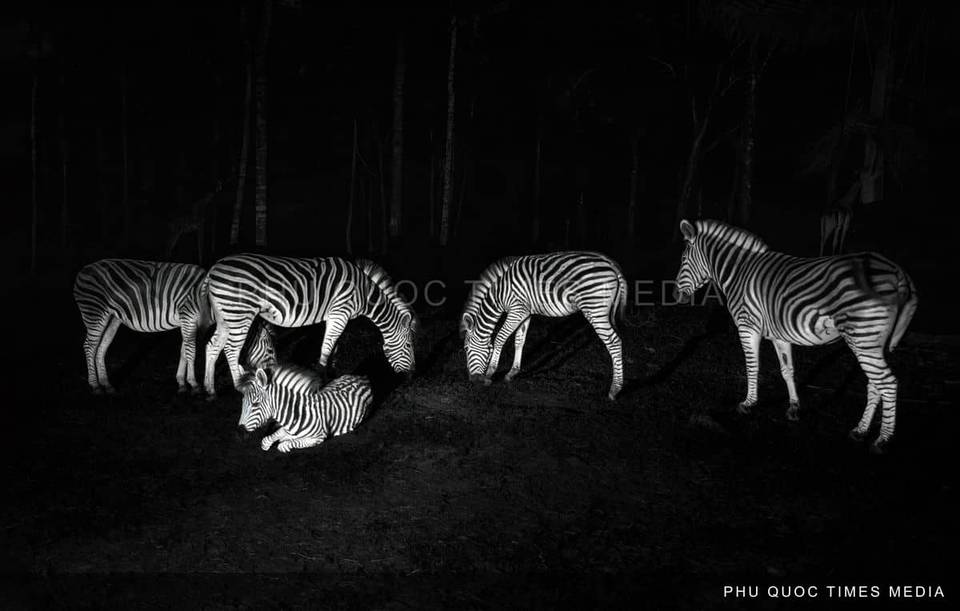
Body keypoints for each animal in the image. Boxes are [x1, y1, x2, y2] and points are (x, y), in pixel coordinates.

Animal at [73, 259, 212, 393]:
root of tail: (83, 270)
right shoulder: (188, 317)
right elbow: (191, 351)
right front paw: (194, 384)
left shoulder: (189, 323)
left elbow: (184, 351)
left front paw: (182, 383)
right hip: (94, 311)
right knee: (89, 346)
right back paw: (95, 385)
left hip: (111, 318)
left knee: (101, 347)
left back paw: (106, 384)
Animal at [203, 254, 416, 396]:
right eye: (408, 345)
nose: (411, 377)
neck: (364, 292)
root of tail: (213, 268)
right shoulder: (340, 312)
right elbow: (327, 347)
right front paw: (322, 380)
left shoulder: (336, 316)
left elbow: (334, 347)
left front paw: (331, 373)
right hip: (239, 312)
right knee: (231, 349)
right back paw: (240, 386)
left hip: (225, 316)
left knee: (213, 346)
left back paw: (209, 389)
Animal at [238, 365, 372, 453]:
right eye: (242, 402)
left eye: (255, 404)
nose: (240, 431)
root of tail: (363, 377)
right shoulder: (287, 428)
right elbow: (270, 438)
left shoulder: (318, 437)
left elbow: (287, 444)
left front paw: (286, 441)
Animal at [460, 251, 628, 399]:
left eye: (466, 349)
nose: (472, 380)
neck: (500, 292)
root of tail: (612, 264)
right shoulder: (525, 313)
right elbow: (519, 341)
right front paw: (512, 373)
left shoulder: (517, 310)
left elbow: (500, 338)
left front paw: (490, 373)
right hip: (604, 310)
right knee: (617, 339)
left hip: (594, 308)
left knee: (614, 341)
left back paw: (615, 389)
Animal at [674, 219, 918, 453]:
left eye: (683, 259)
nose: (676, 295)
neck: (740, 272)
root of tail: (897, 271)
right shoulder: (780, 334)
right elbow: (787, 370)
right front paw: (793, 408)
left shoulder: (747, 326)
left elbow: (752, 366)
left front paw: (749, 403)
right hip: (874, 342)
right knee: (875, 384)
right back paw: (860, 431)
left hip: (863, 337)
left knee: (888, 383)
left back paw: (882, 440)